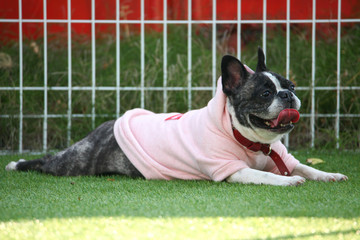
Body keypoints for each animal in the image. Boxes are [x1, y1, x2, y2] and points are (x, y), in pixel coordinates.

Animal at [6, 47, 348, 186]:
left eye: (291, 85)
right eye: (265, 94)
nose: (287, 95)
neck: (251, 141)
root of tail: (107, 127)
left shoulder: (283, 158)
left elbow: (307, 168)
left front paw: (330, 175)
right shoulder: (232, 170)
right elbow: (264, 175)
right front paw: (289, 181)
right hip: (75, 163)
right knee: (48, 162)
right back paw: (16, 164)